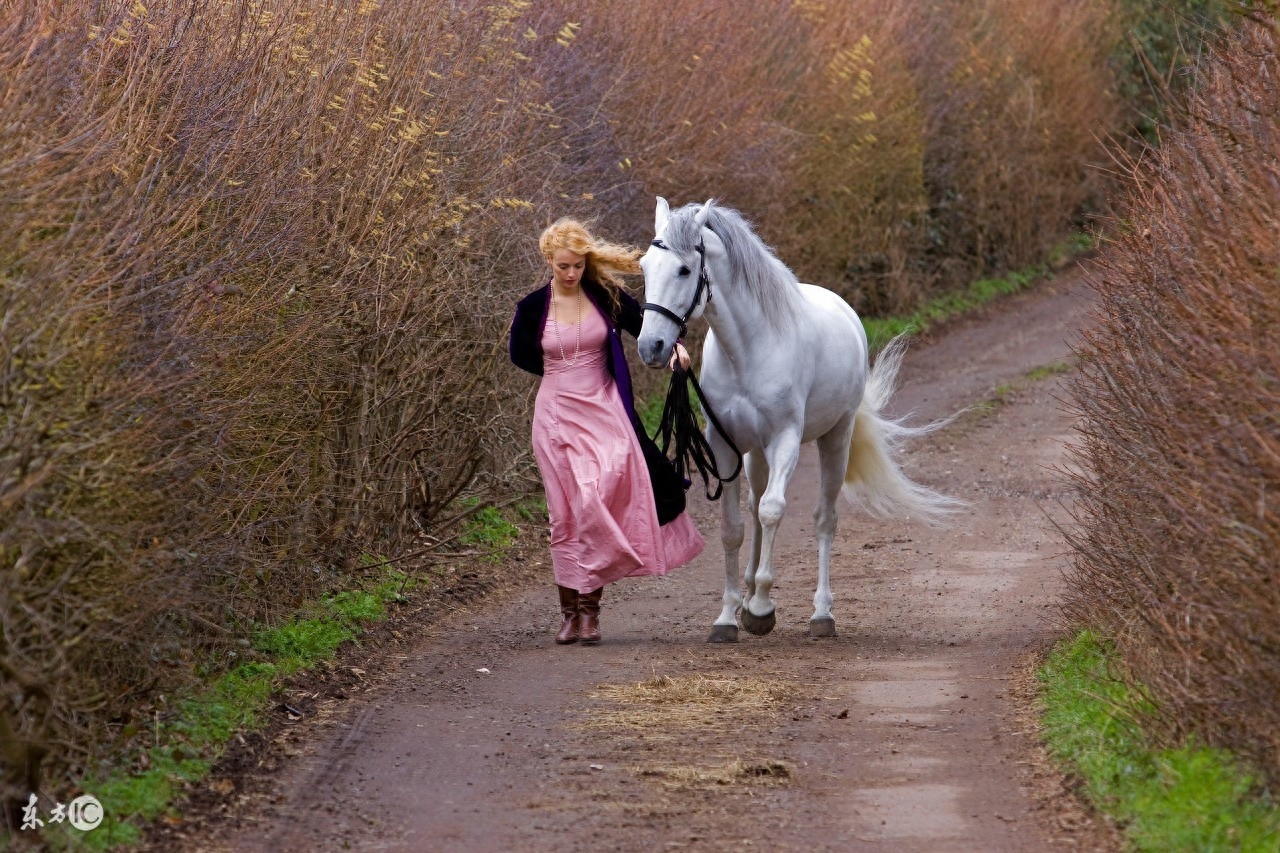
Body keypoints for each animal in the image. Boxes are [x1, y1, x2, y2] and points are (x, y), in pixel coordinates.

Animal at [634, 197, 957, 637]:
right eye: (645, 266)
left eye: (684, 269)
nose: (651, 346)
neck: (748, 351)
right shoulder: (724, 446)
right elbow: (733, 527)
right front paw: (728, 616)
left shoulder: (784, 440)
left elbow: (774, 511)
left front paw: (761, 609)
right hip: (754, 455)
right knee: (755, 507)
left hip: (835, 438)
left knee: (823, 519)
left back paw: (821, 614)